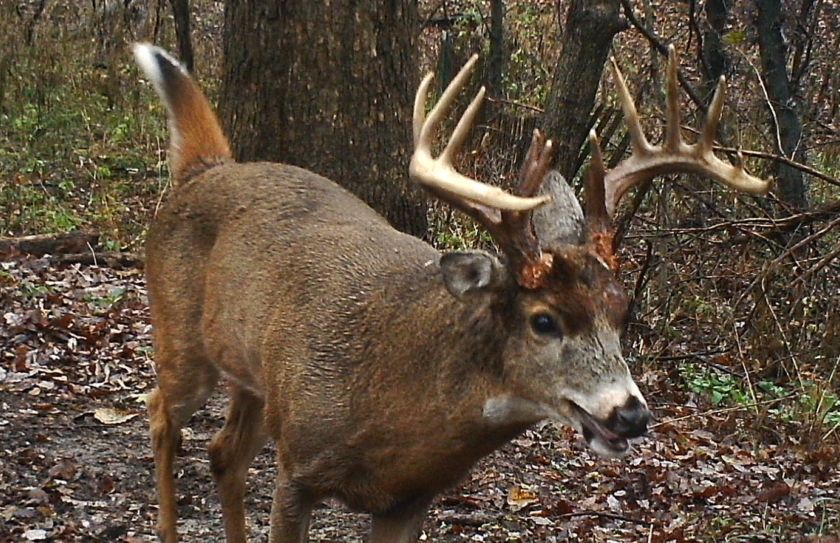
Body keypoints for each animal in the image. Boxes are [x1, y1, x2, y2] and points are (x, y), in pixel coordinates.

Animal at [133, 43, 768, 543]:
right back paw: (165, 526)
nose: (631, 414)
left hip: (254, 378)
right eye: (544, 320)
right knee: (160, 409)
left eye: (623, 311)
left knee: (223, 453)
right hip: (181, 335)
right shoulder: (298, 468)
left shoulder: (410, 499)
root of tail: (207, 168)